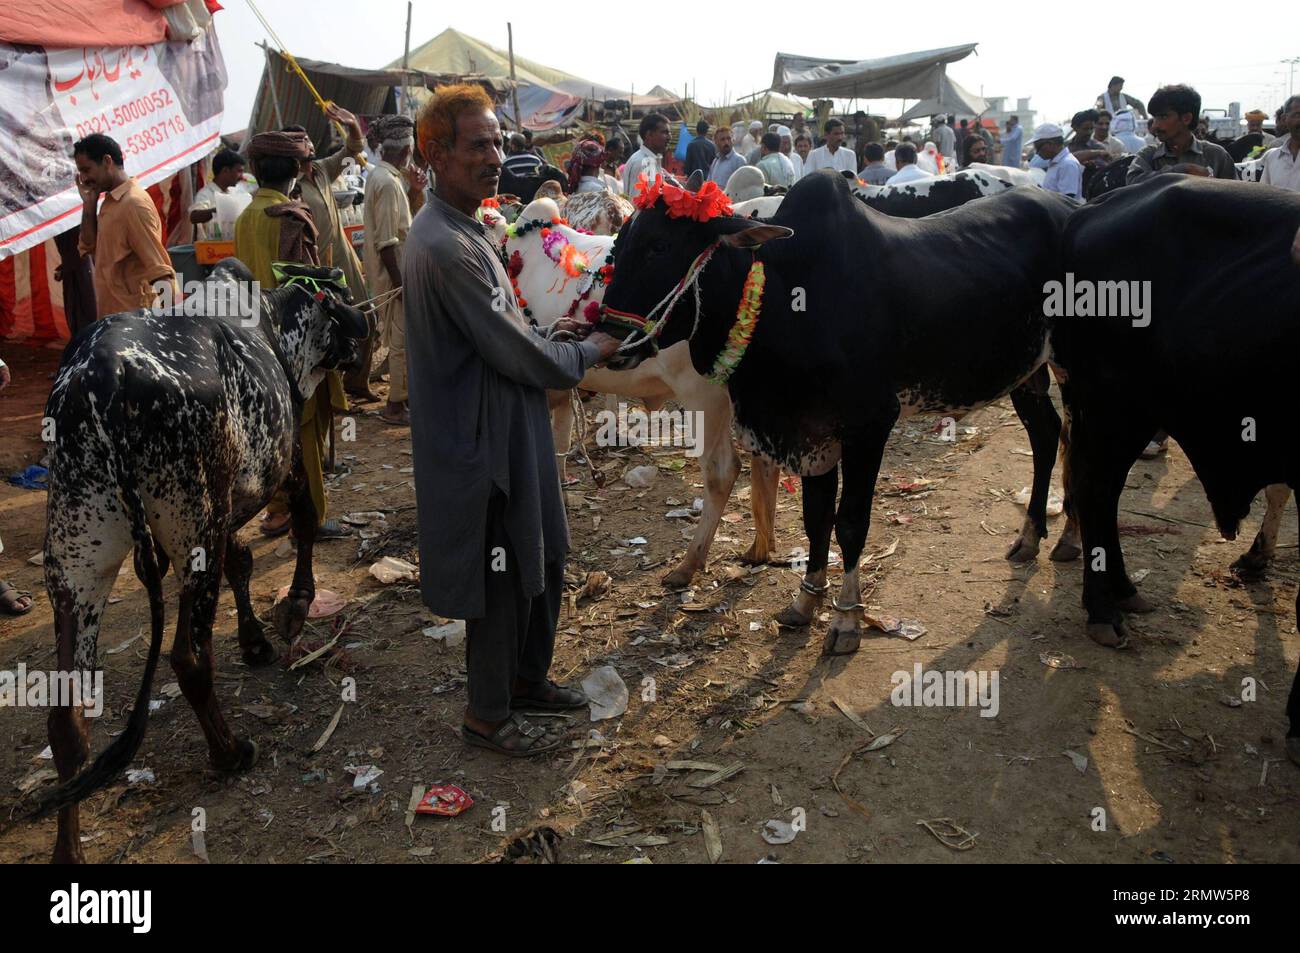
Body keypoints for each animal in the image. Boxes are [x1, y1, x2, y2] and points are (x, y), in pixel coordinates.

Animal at [35, 258, 369, 863]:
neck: (272, 321)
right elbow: (304, 519)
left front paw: (255, 639)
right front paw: (295, 606)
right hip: (192, 528)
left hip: (76, 559)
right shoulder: (282, 463)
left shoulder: (227, 509)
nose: (363, 340)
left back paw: (68, 851)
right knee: (188, 660)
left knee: (66, 717)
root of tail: (106, 377)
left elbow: (242, 561)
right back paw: (230, 751)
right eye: (340, 307)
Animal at [598, 167, 1076, 650]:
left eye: (659, 246)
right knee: (1047, 434)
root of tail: (1069, 205)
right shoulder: (810, 433)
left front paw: (846, 618)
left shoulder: (869, 424)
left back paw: (1069, 537)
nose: (602, 337)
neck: (788, 299)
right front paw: (806, 600)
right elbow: (817, 519)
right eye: (619, 245)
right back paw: (1036, 536)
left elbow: (849, 522)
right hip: (1028, 374)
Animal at [1050, 174, 1294, 764]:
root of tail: (1091, 208)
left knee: (1102, 492)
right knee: (1094, 488)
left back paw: (1122, 590)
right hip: (1115, 405)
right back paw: (1102, 609)